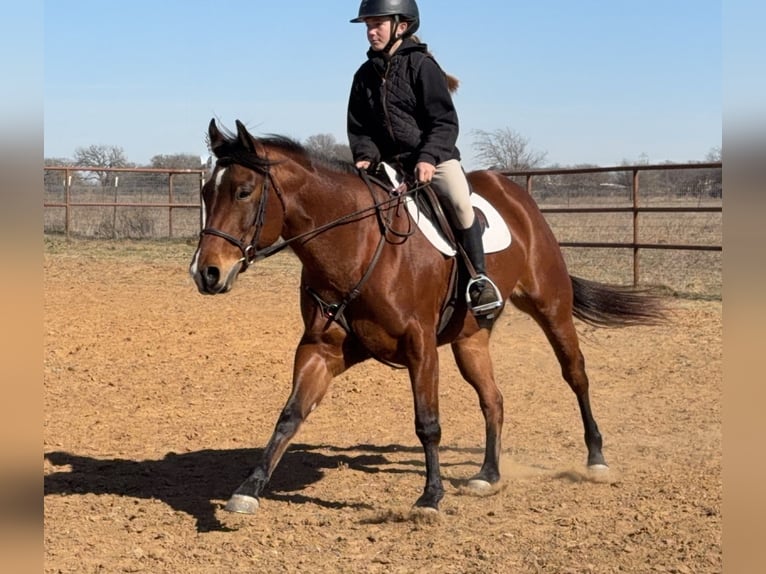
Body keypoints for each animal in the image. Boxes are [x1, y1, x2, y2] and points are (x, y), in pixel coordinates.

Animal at [189, 118, 665, 515]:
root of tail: (515, 193)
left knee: (576, 375)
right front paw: (248, 489)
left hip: (551, 308)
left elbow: (427, 423)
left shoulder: (420, 347)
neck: (358, 243)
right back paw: (488, 475)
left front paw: (430, 497)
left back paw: (596, 458)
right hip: (470, 340)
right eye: (205, 193)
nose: (206, 272)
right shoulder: (322, 350)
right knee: (493, 398)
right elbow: (289, 415)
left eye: (244, 191)